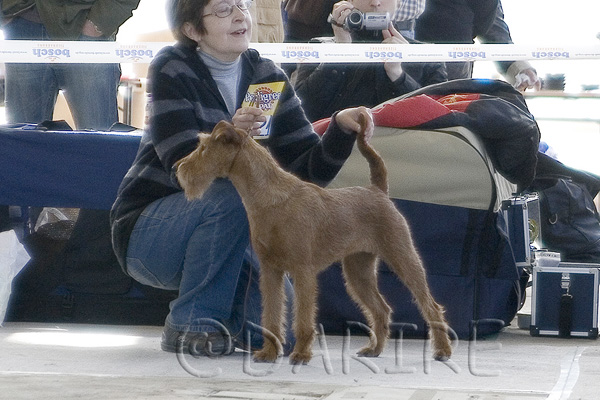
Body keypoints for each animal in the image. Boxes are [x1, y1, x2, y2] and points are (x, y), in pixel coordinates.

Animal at [176, 118, 452, 362]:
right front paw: (269, 353)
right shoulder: (270, 271)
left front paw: (300, 355)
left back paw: (442, 351)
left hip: (402, 256)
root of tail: (377, 191)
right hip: (358, 269)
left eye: (203, 147)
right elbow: (271, 315)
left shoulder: (303, 271)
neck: (270, 198)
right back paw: (374, 349)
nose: (178, 167)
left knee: (430, 305)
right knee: (381, 309)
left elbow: (303, 318)